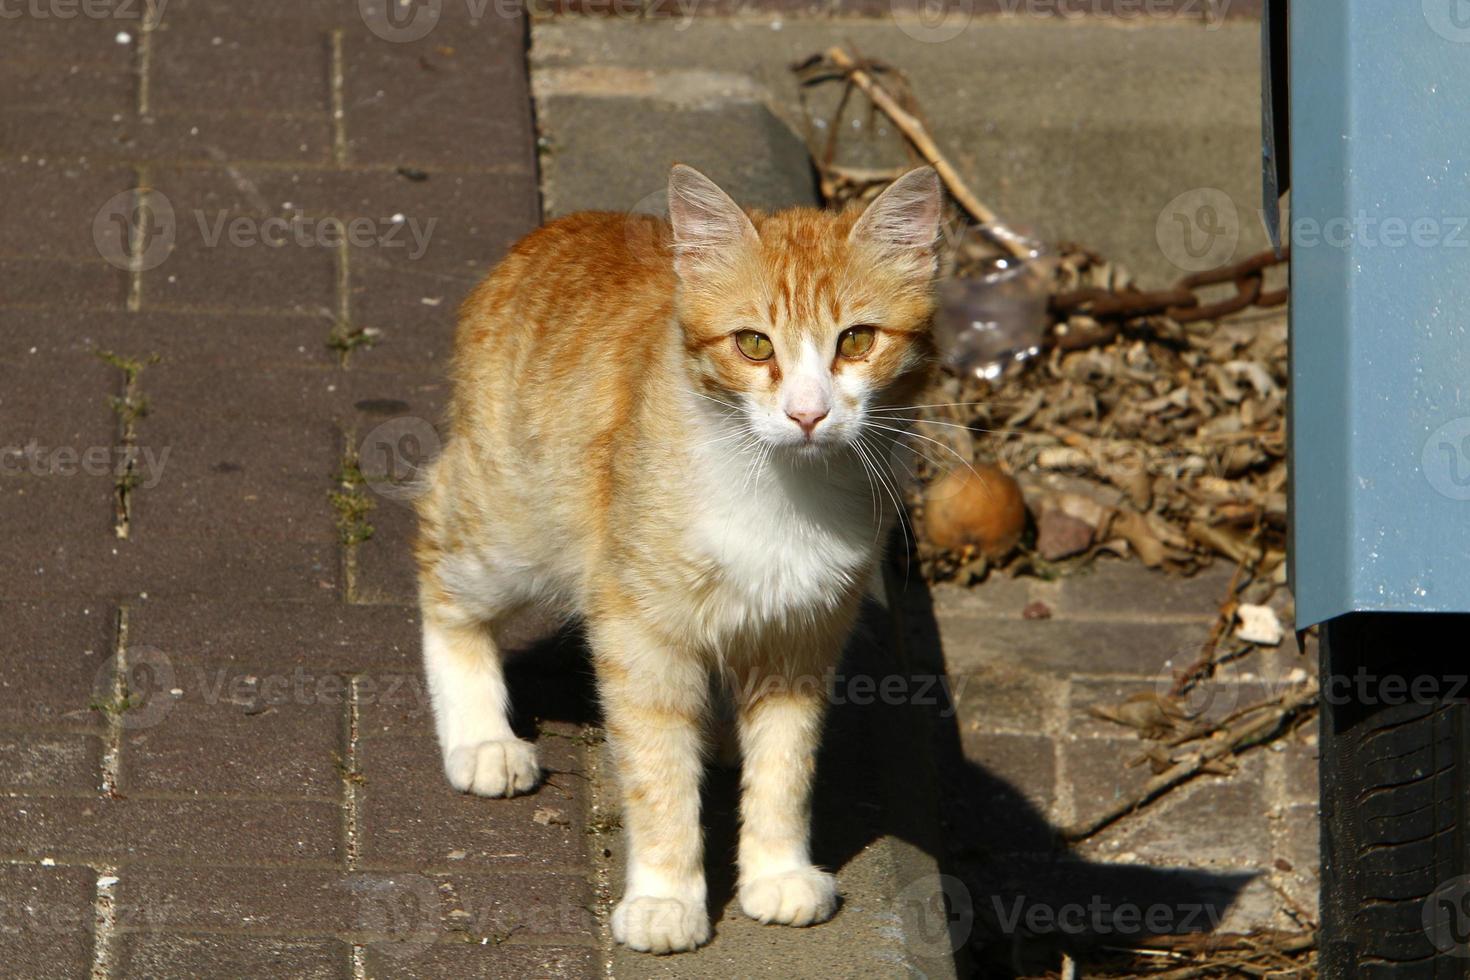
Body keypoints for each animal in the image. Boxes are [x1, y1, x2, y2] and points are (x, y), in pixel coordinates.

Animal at [414, 164, 940, 952]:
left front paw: (777, 869)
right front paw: (666, 895)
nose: (808, 413)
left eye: (856, 341)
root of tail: (561, 226)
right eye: (754, 345)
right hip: (511, 528)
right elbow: (658, 773)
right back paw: (479, 735)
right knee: (437, 547)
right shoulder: (640, 633)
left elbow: (785, 766)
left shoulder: (803, 636)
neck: (781, 487)